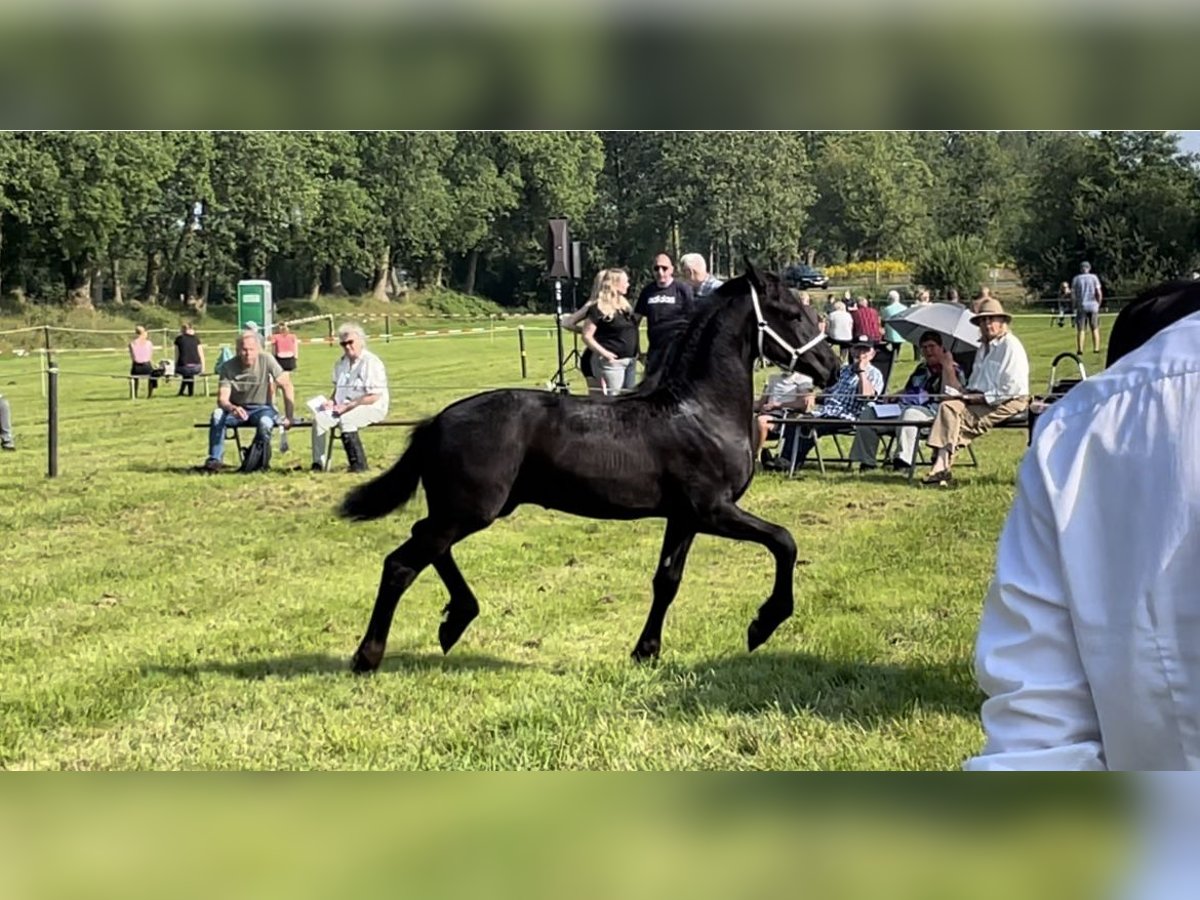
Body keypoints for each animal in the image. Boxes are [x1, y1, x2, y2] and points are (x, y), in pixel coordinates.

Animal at [343, 260, 840, 672]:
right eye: (792, 313)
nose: (831, 366)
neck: (699, 411)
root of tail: (436, 422)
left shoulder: (683, 518)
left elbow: (667, 580)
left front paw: (645, 651)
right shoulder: (712, 510)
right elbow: (784, 541)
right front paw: (762, 624)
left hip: (464, 510)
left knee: (425, 545)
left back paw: (455, 621)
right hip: (469, 511)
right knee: (401, 564)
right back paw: (369, 656)